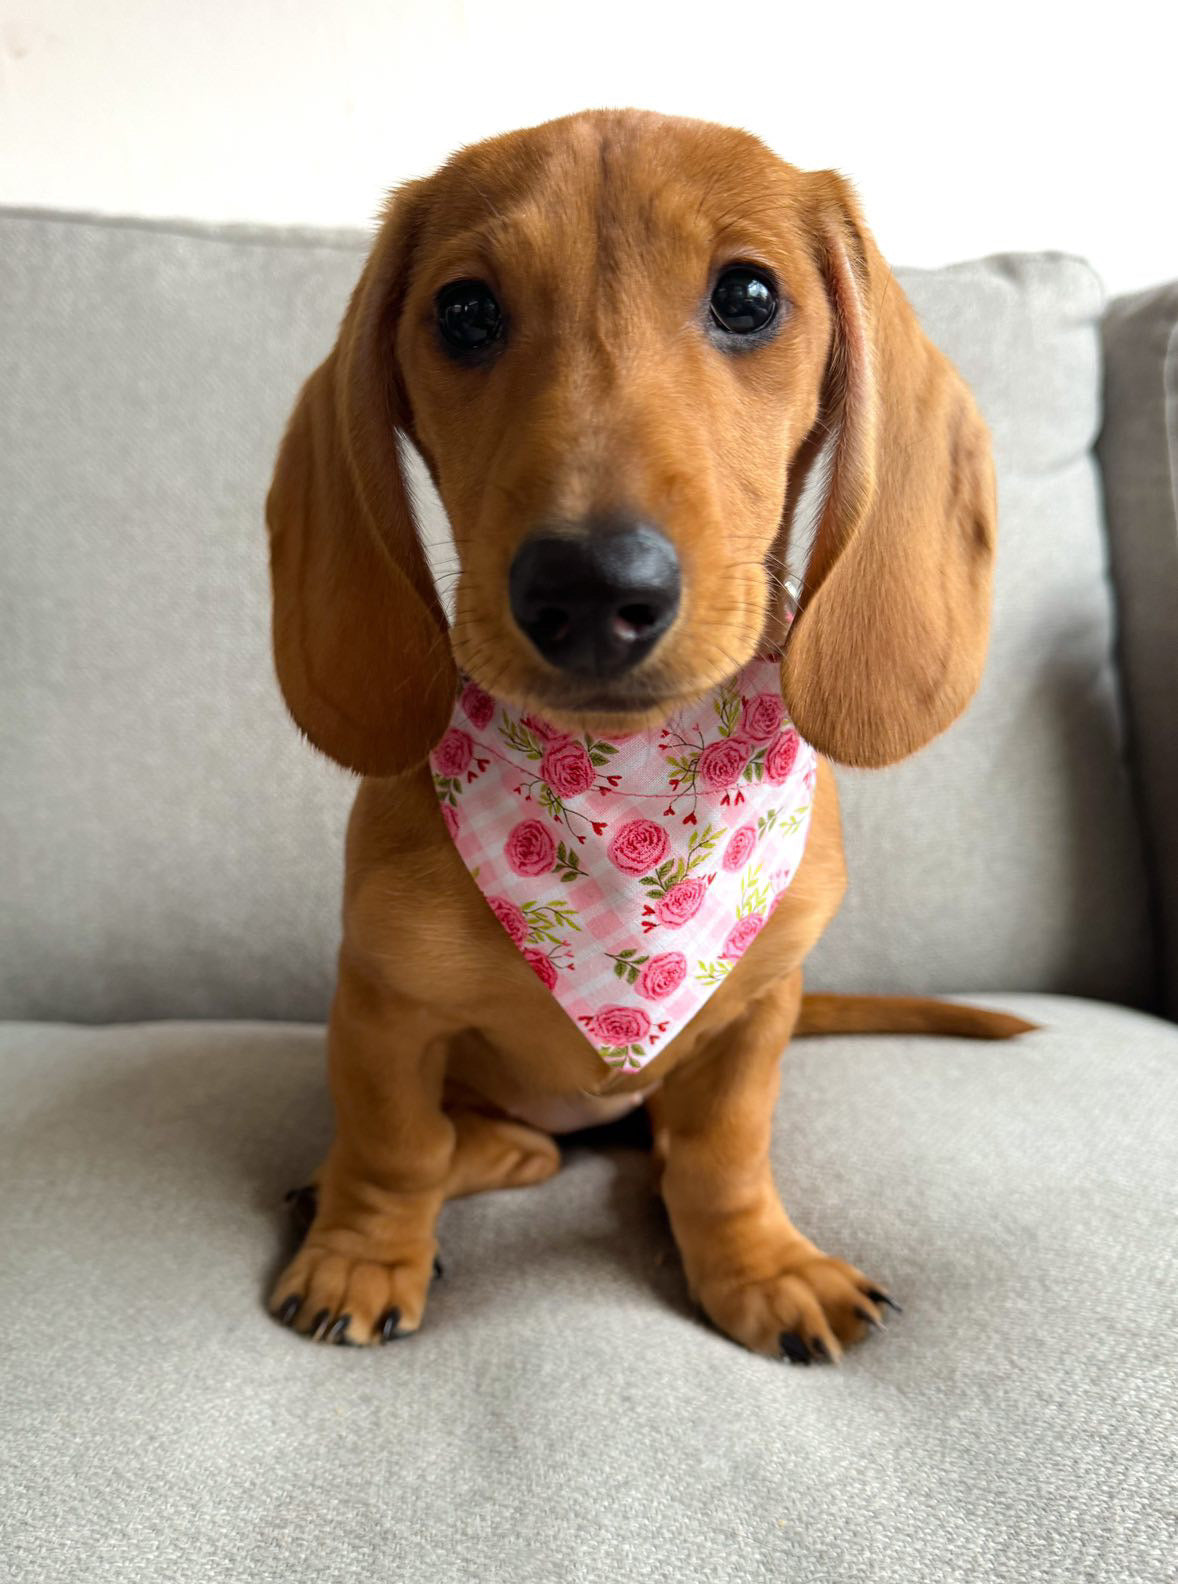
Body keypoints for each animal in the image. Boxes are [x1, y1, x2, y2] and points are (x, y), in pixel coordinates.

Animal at [262, 108, 1019, 1362]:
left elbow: (719, 1156)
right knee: (469, 1146)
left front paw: (757, 1265)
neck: (621, 797)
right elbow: (394, 1146)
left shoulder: (756, 1017)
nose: (588, 587)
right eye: (462, 312)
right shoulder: (378, 1007)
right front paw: (363, 1252)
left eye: (749, 296)